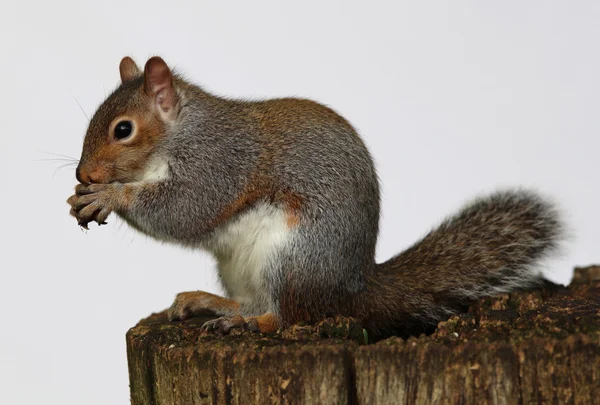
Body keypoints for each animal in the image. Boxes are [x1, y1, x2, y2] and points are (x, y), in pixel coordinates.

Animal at [67, 55, 564, 336]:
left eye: (123, 130)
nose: (82, 172)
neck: (179, 133)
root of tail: (353, 290)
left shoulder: (219, 163)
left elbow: (185, 209)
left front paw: (110, 196)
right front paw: (81, 195)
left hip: (294, 256)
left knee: (288, 318)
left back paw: (244, 322)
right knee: (260, 302)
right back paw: (212, 302)